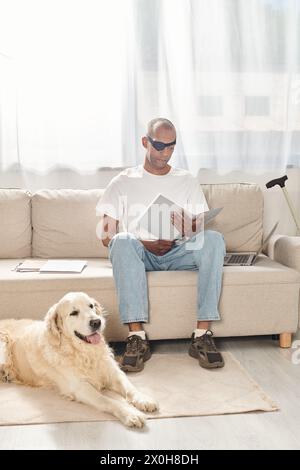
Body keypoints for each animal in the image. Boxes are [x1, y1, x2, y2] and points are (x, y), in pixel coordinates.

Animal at [0, 290, 158, 426]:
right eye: (74, 313)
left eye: (91, 306)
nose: (96, 322)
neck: (84, 352)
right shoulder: (80, 388)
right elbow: (108, 401)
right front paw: (130, 414)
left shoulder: (113, 373)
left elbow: (130, 388)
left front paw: (143, 399)